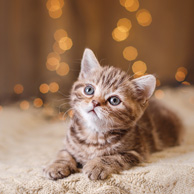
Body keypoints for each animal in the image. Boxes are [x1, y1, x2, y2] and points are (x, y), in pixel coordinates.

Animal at [43, 48, 184, 180]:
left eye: (114, 100)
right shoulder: (69, 143)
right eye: (89, 90)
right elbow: (63, 153)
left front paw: (97, 165)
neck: (93, 135)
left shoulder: (137, 151)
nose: (95, 102)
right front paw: (57, 165)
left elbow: (114, 157)